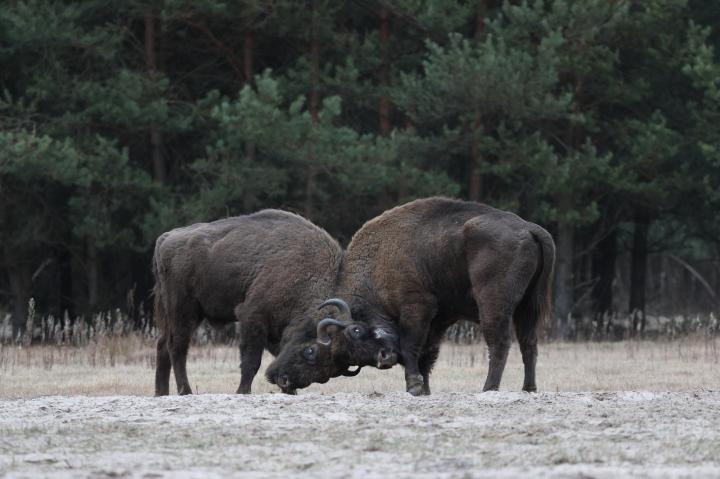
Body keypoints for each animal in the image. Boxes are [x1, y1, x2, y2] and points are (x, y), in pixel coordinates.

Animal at [152, 209, 397, 396]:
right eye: (310, 351)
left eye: (330, 373)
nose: (284, 380)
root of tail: (166, 239)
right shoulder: (252, 317)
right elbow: (251, 361)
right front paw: (243, 391)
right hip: (184, 311)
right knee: (177, 347)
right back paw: (185, 391)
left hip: (171, 313)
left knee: (162, 345)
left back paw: (161, 393)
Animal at [267, 197, 555, 395]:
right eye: (345, 359)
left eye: (311, 350)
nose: (277, 376)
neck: (375, 265)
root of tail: (529, 228)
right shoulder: (437, 321)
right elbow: (426, 355)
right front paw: (424, 389)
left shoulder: (417, 308)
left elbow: (410, 347)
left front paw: (415, 387)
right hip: (528, 307)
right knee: (529, 344)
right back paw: (528, 389)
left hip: (494, 304)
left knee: (499, 343)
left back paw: (488, 389)